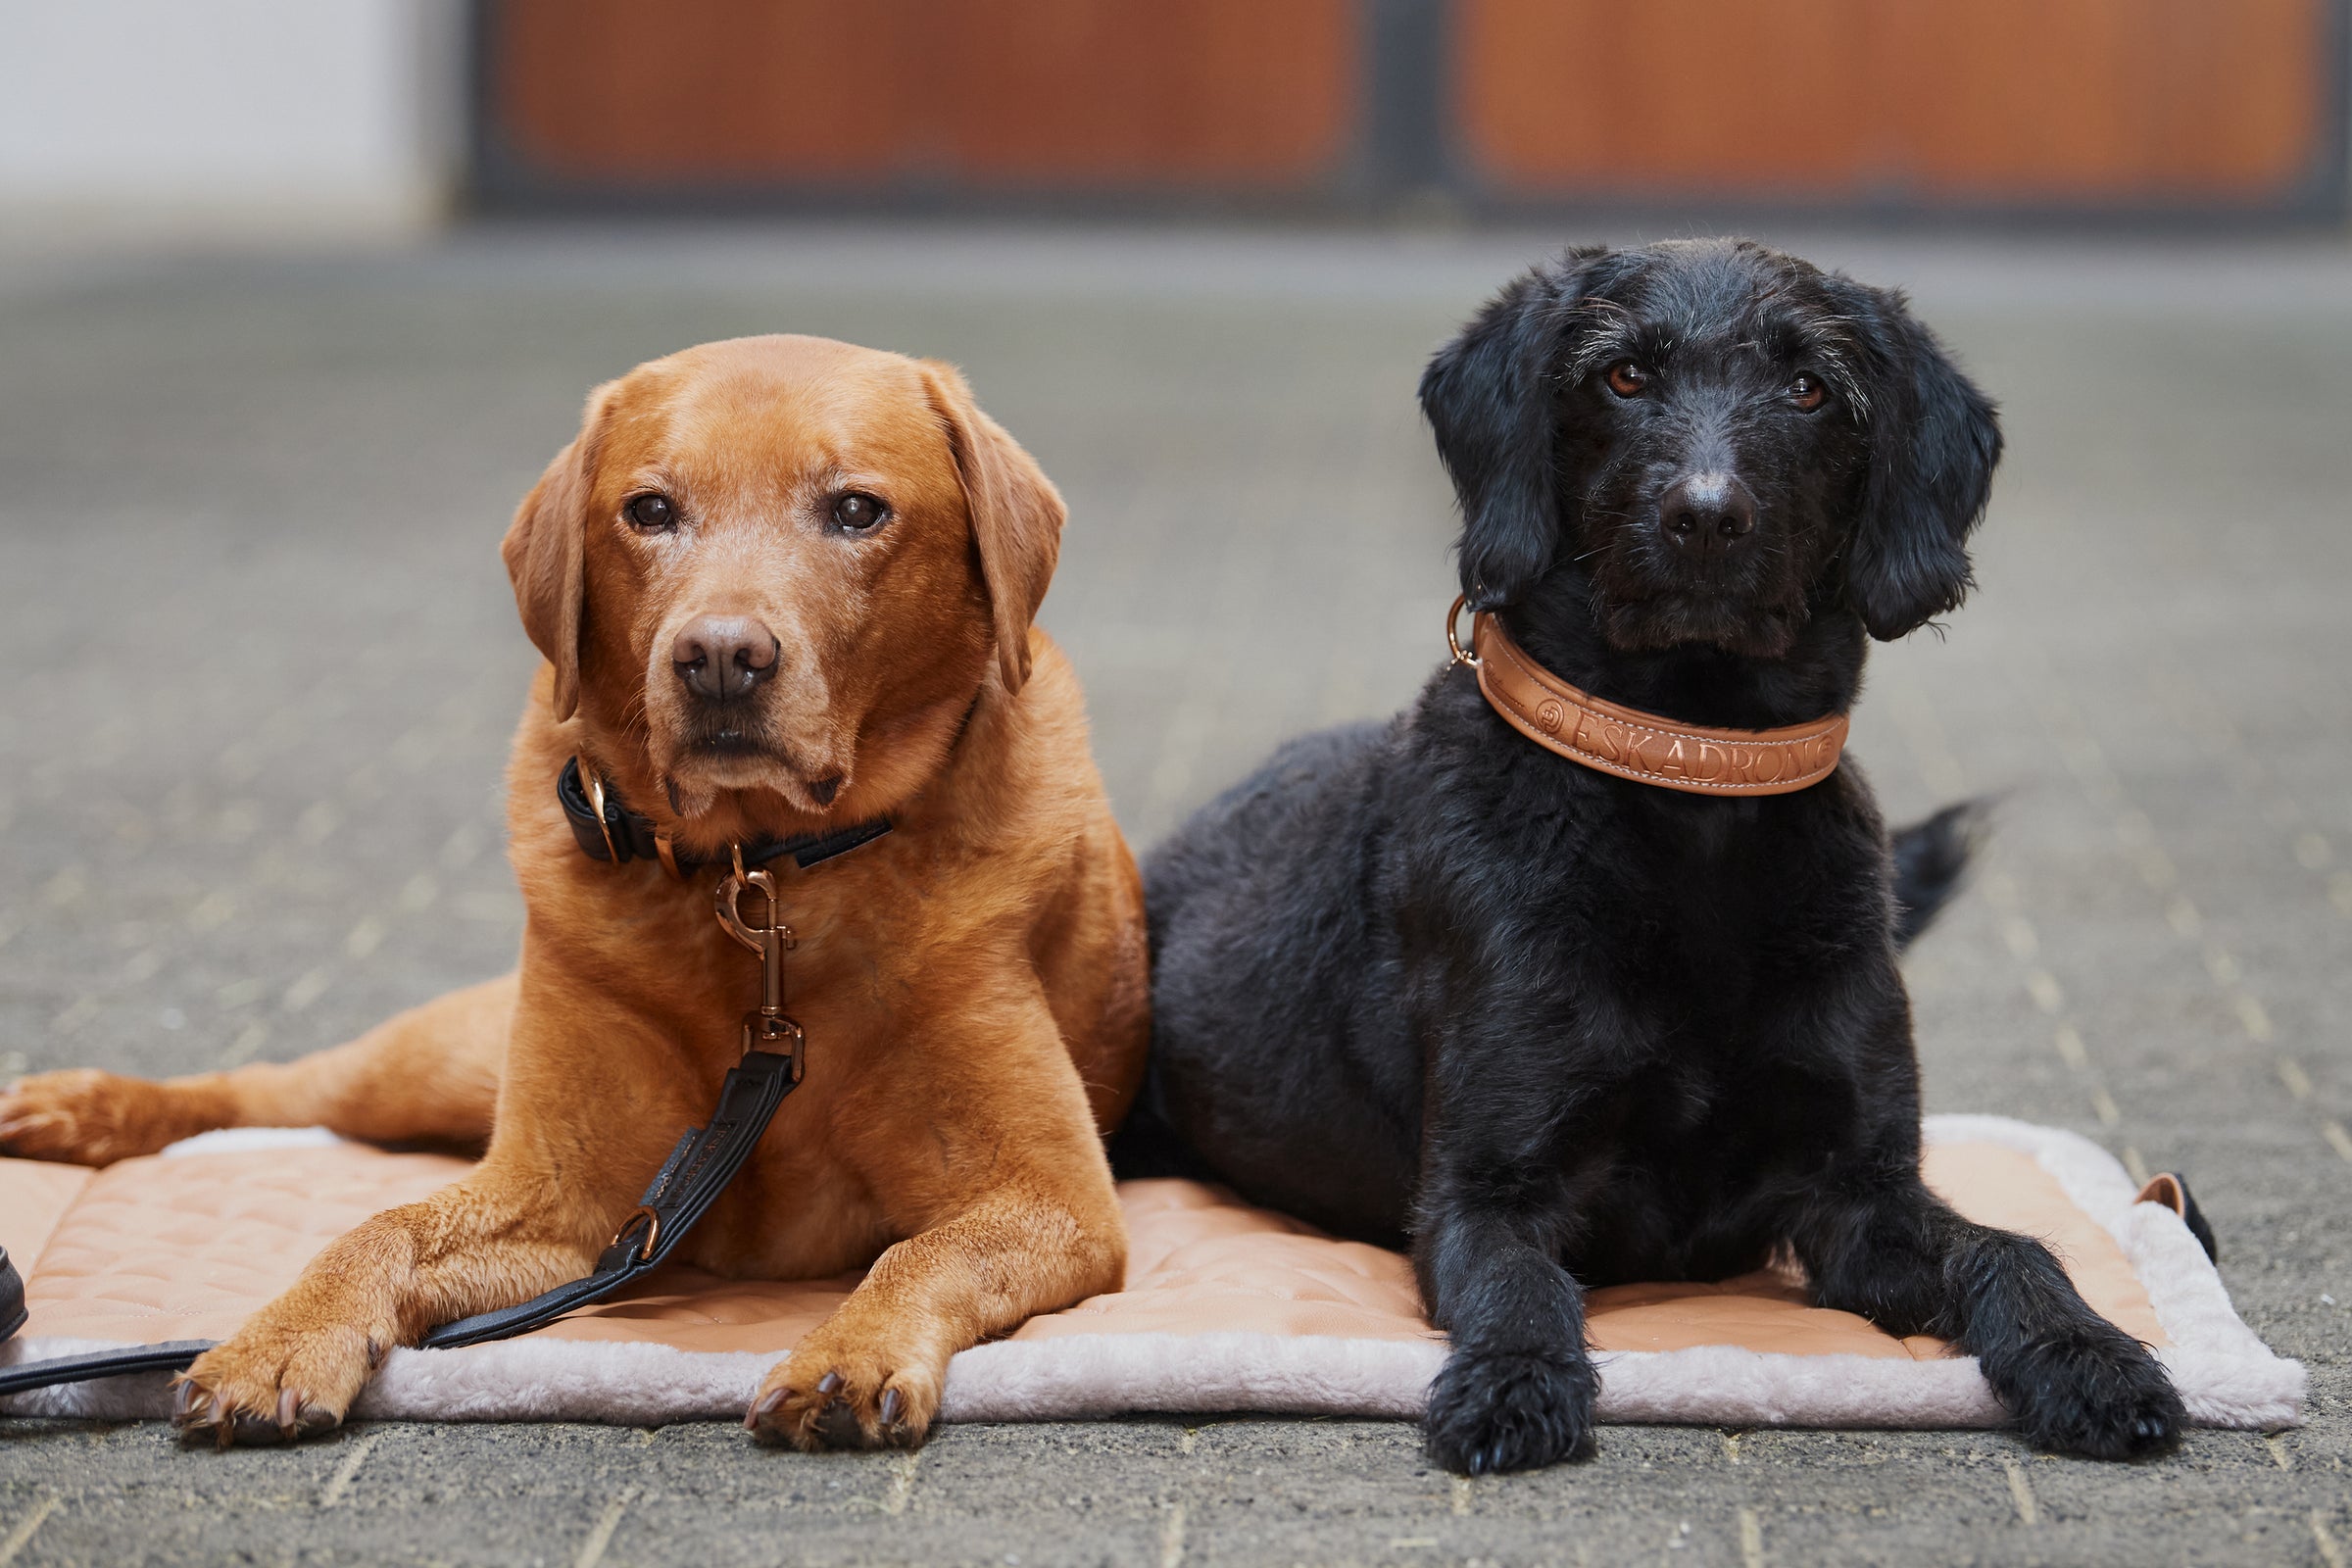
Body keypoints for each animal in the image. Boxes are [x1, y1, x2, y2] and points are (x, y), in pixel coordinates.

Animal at [1119, 239, 2182, 1476]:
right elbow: (1525, 1287)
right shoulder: (1487, 1189)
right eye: (1623, 376)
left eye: (1811, 389)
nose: (1707, 516)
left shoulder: (1860, 1194)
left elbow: (2013, 1246)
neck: (1691, 779)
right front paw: (1513, 1385)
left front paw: (2090, 1357)